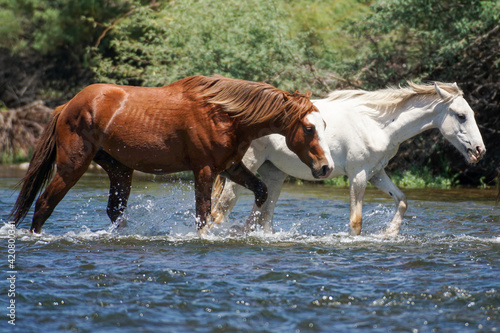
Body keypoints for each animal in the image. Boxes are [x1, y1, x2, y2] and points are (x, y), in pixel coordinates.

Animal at [9, 74, 332, 233]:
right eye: (308, 128)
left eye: (324, 125)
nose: (325, 167)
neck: (225, 114)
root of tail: (67, 106)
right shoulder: (204, 169)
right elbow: (203, 213)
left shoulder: (230, 165)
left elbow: (261, 192)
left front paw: (247, 229)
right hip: (72, 167)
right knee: (44, 204)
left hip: (119, 169)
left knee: (115, 211)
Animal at [211, 81, 484, 235]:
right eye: (461, 116)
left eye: (472, 113)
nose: (479, 150)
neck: (377, 124)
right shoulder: (358, 176)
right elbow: (356, 222)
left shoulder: (376, 174)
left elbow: (402, 200)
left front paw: (389, 234)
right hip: (245, 167)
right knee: (221, 211)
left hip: (274, 175)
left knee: (261, 219)